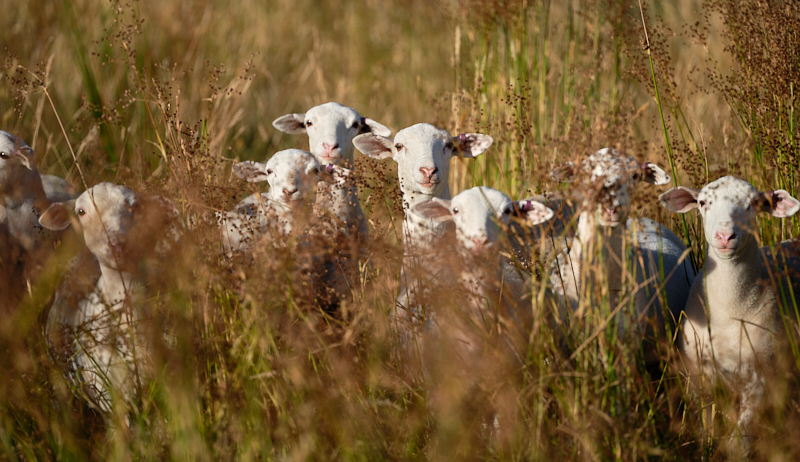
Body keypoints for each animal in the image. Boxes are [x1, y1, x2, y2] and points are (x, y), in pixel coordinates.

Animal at [656, 177, 800, 454]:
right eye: (702, 203)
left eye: (754, 203)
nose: (724, 236)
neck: (729, 312)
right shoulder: (697, 372)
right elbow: (704, 420)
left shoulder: (762, 372)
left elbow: (740, 436)